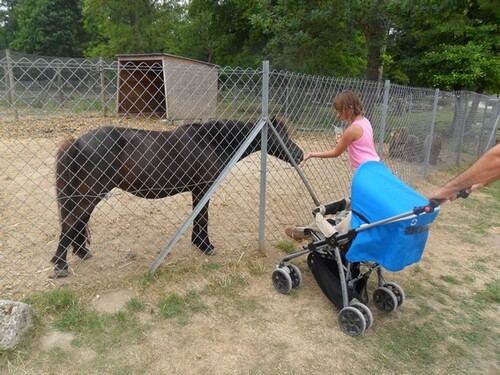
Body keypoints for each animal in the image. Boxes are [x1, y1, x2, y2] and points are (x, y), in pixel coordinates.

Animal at [53, 119, 304, 278]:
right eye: (280, 135)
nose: (299, 154)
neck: (211, 142)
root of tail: (78, 142)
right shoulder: (203, 188)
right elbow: (203, 217)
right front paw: (206, 246)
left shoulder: (198, 190)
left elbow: (198, 215)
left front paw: (199, 243)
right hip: (91, 194)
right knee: (71, 222)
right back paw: (60, 266)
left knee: (77, 222)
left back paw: (81, 253)